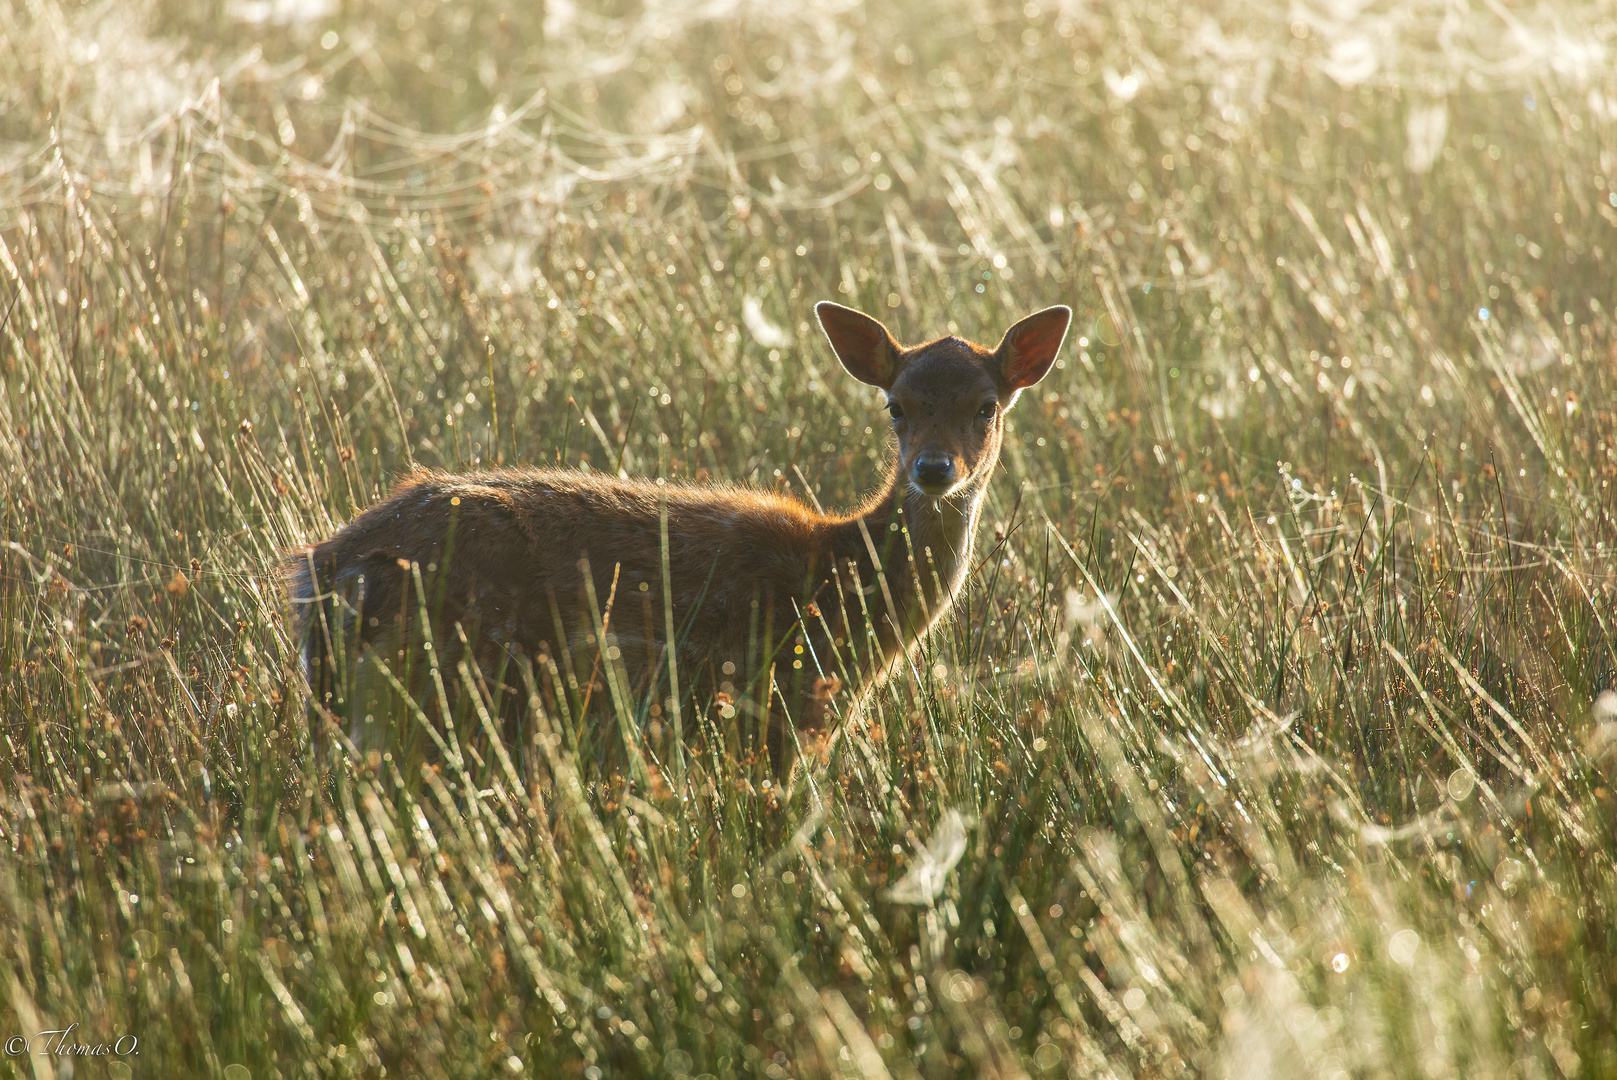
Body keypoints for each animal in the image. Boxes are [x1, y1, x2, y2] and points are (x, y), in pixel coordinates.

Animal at [291, 302, 1073, 776]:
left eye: (987, 406)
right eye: (896, 406)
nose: (933, 469)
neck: (840, 585)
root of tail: (328, 573)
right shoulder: (785, 713)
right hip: (448, 689)